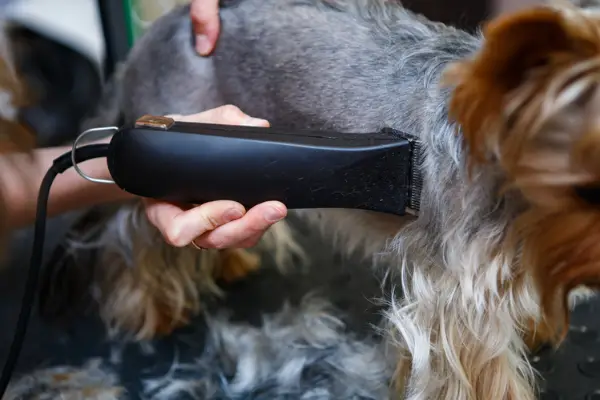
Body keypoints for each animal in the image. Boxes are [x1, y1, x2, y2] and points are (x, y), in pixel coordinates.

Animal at [34, 0, 600, 398]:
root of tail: (161, 29)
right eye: (588, 186)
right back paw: (151, 311)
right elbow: (477, 368)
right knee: (128, 241)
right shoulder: (455, 291)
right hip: (172, 136)